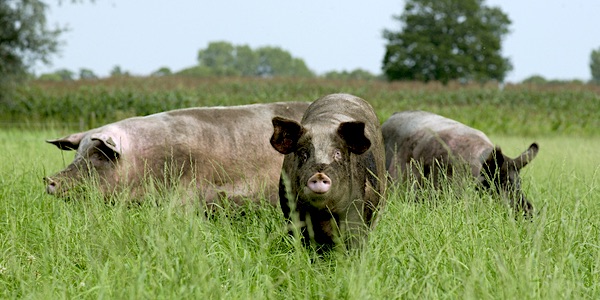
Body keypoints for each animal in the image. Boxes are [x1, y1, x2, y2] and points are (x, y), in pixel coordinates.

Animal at [270, 94, 386, 251]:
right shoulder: (290, 208)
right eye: (303, 154)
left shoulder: (356, 207)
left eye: (337, 153)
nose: (319, 174)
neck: (323, 214)